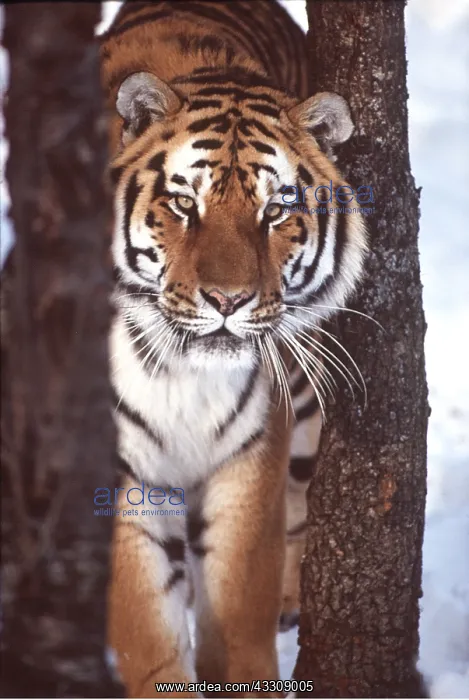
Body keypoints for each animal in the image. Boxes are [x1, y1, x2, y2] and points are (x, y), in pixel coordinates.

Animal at [99, 1, 367, 696]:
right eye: (182, 203)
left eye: (275, 211)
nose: (228, 300)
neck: (180, 372)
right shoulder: (123, 472)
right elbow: (146, 633)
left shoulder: (251, 456)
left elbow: (241, 610)